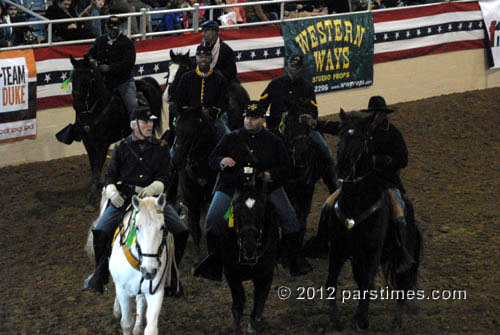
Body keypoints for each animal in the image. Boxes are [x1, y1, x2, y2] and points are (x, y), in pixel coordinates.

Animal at [64, 55, 162, 202]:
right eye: (73, 78)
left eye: (87, 79)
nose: (76, 104)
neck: (97, 108)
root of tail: (147, 82)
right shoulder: (88, 142)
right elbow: (93, 164)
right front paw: (94, 187)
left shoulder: (103, 143)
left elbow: (98, 165)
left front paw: (93, 193)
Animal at [172, 107, 219, 262]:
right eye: (176, 128)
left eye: (193, 132)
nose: (176, 160)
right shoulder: (191, 199)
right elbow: (195, 228)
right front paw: (198, 258)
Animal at [221, 169, 280, 335]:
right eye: (236, 209)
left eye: (262, 210)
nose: (249, 247)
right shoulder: (231, 274)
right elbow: (238, 304)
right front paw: (237, 328)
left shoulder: (266, 274)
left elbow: (259, 304)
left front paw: (253, 326)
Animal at [324, 111, 422, 332]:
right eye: (340, 136)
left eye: (362, 139)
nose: (343, 168)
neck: (356, 203)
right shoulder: (338, 250)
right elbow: (332, 282)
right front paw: (336, 320)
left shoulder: (372, 253)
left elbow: (367, 284)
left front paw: (361, 320)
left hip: (403, 256)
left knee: (403, 288)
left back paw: (396, 324)